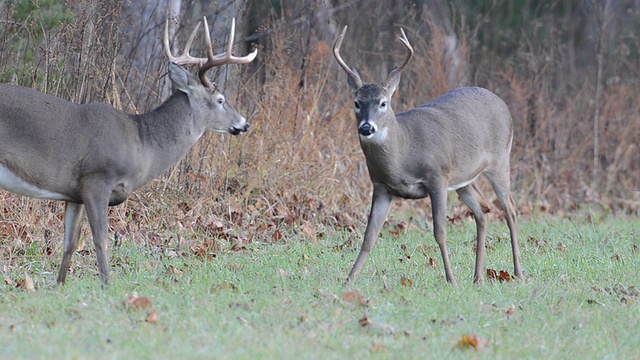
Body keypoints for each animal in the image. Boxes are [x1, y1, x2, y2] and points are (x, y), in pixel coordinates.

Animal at [0, 17, 255, 286]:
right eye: (220, 99)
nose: (244, 123)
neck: (142, 143)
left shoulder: (74, 194)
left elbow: (70, 244)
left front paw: (59, 286)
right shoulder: (96, 179)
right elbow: (100, 240)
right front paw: (106, 286)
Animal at [332, 26, 524, 286]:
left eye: (383, 103)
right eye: (356, 102)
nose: (366, 127)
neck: (402, 155)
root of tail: (503, 104)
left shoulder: (437, 178)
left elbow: (440, 232)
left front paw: (451, 279)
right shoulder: (381, 186)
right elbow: (369, 237)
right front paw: (348, 280)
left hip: (500, 160)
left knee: (510, 209)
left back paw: (518, 272)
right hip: (464, 179)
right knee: (483, 210)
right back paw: (477, 277)